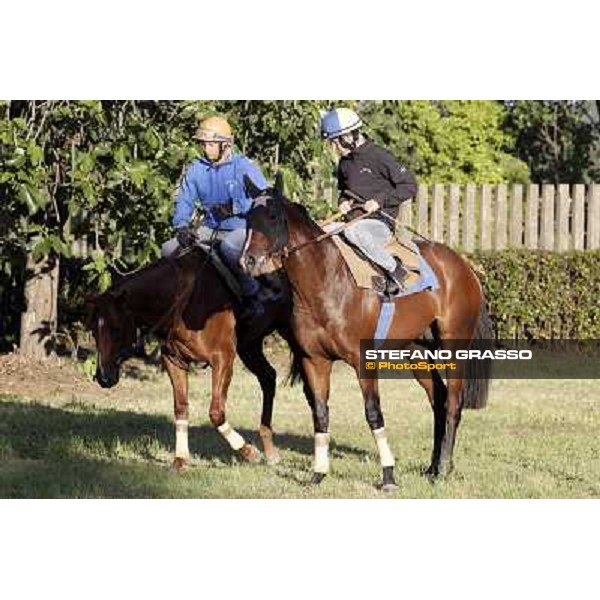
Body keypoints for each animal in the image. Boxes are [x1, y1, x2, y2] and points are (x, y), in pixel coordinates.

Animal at [85, 246, 300, 472]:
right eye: (93, 330)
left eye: (116, 329)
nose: (104, 377)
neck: (182, 301)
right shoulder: (174, 362)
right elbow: (181, 407)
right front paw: (180, 459)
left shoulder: (222, 358)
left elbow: (216, 412)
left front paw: (248, 452)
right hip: (250, 346)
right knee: (268, 377)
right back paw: (270, 449)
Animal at [239, 178, 492, 488]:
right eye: (248, 218)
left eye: (273, 217)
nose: (249, 261)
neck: (329, 282)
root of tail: (464, 266)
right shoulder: (314, 361)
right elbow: (320, 414)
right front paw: (318, 473)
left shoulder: (363, 361)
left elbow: (373, 414)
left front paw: (388, 475)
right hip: (417, 351)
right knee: (439, 399)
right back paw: (433, 466)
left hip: (453, 346)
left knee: (454, 402)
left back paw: (443, 468)